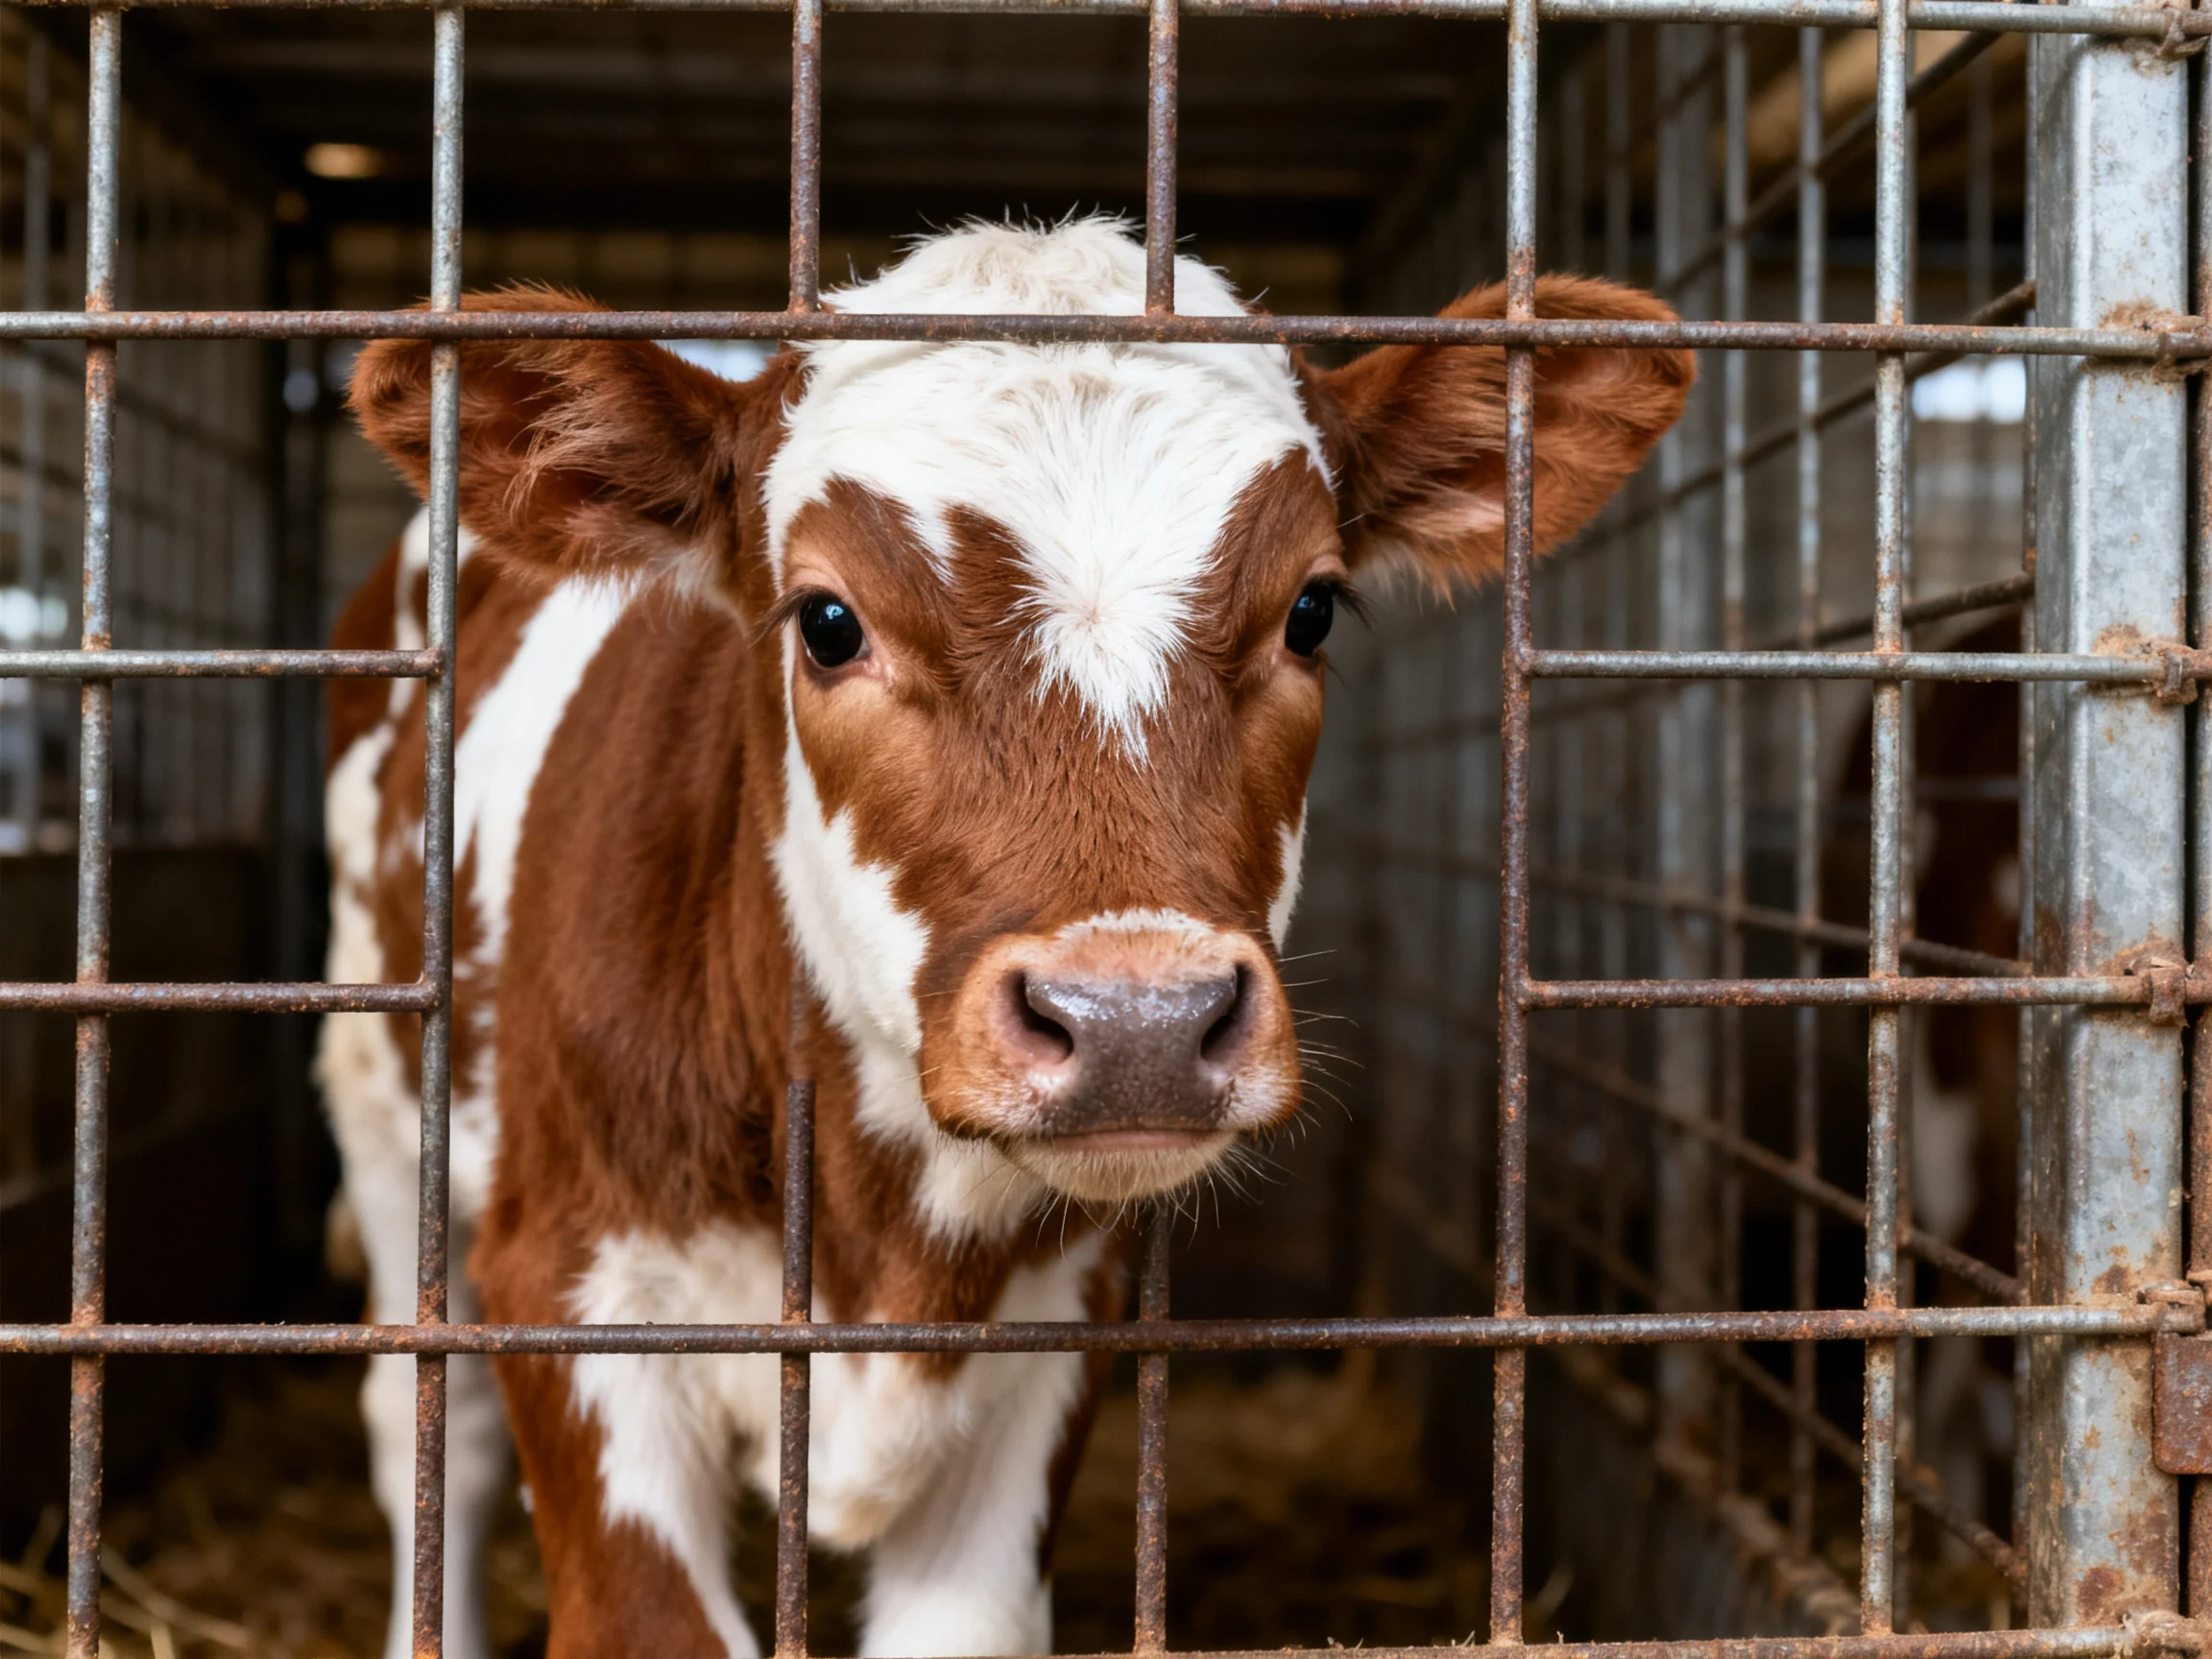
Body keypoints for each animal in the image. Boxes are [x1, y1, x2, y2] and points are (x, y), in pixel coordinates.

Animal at [316, 217, 1692, 1659]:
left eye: (1312, 609)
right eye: (827, 621)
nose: (1138, 1024)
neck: (888, 1245)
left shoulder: (1055, 1330)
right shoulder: (574, 1288)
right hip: (383, 1105)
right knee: (427, 1425)